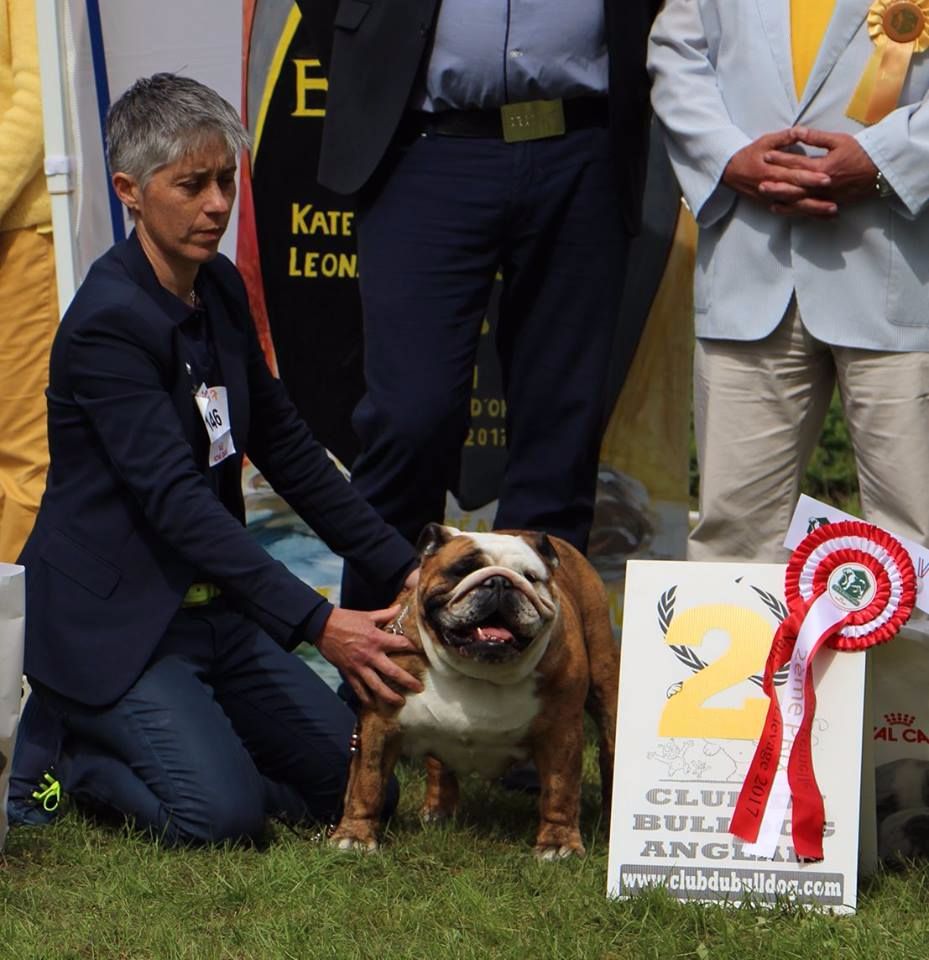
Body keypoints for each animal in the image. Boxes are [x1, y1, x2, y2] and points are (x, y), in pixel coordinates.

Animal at [330, 523, 619, 858]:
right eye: (462, 570)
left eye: (530, 577)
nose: (500, 581)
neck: (478, 671)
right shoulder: (379, 722)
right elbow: (368, 781)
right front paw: (354, 837)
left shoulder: (562, 733)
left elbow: (561, 790)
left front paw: (559, 844)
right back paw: (439, 811)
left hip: (605, 683)